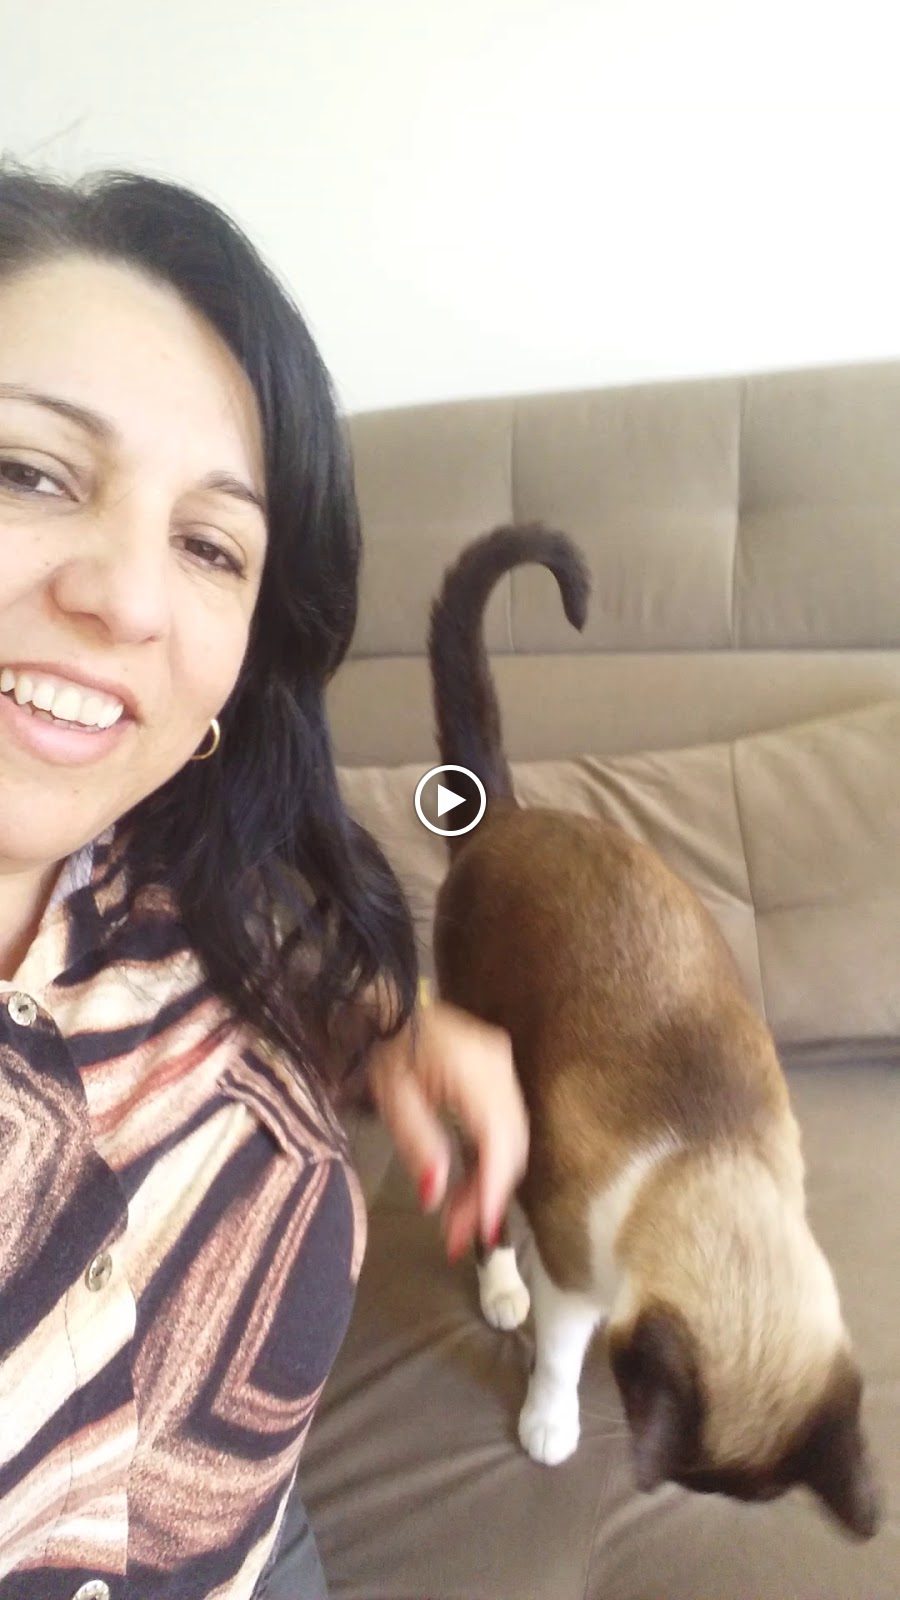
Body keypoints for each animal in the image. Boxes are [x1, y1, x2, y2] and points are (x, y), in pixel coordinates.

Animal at [427, 524, 881, 1540]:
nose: (668, 1488)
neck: (701, 1153)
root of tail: (506, 816)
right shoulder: (572, 1269)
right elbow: (558, 1352)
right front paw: (550, 1426)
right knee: (484, 1203)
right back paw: (499, 1292)